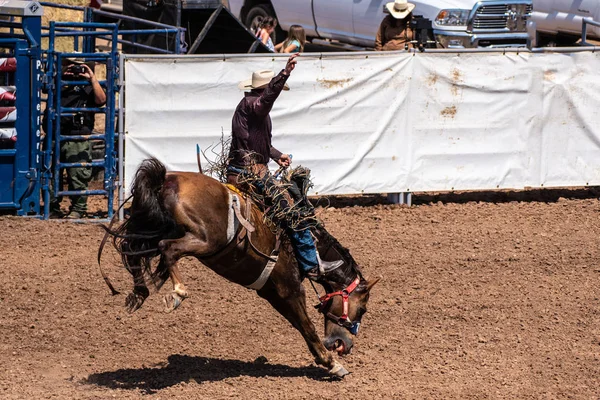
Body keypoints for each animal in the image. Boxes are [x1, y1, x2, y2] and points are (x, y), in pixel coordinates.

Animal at [100, 157, 378, 378]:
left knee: (133, 251)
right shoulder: (289, 289)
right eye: (363, 309)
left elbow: (301, 326)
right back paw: (177, 293)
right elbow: (307, 327)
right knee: (167, 249)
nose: (344, 345)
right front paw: (333, 364)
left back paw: (138, 294)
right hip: (203, 240)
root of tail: (164, 180)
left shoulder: (272, 293)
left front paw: (327, 361)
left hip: (152, 227)